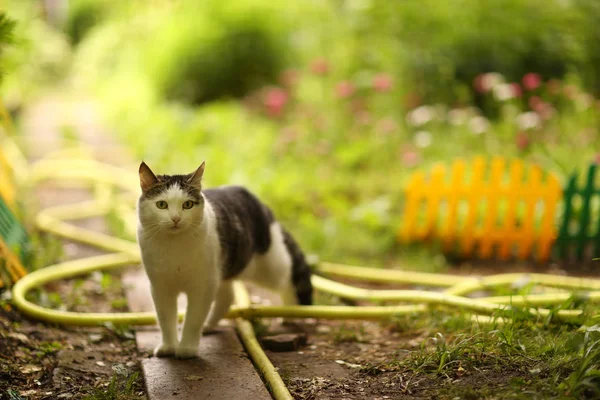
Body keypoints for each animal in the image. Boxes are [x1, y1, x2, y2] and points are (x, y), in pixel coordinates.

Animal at [137, 162, 314, 360]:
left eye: (187, 204)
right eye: (161, 204)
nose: (176, 219)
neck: (174, 247)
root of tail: (259, 203)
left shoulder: (202, 286)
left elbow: (193, 318)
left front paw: (187, 349)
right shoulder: (160, 287)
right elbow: (165, 319)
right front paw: (168, 347)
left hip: (268, 265)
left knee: (287, 278)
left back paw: (290, 313)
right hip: (222, 271)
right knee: (227, 297)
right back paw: (209, 325)